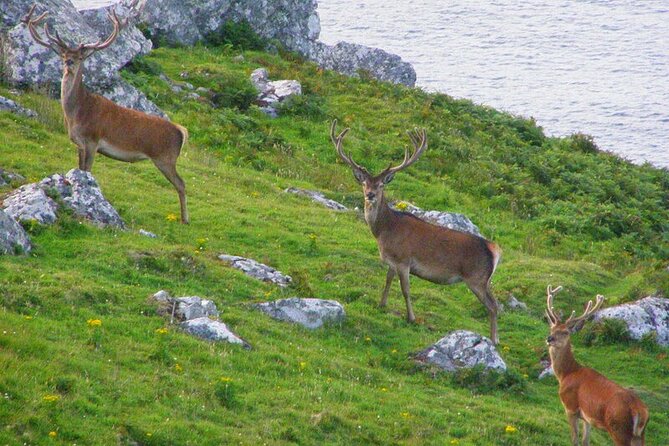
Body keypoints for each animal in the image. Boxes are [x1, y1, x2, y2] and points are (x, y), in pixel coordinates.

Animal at [22, 2, 190, 224]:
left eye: (80, 57)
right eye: (64, 55)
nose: (69, 63)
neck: (77, 113)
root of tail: (181, 131)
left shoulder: (93, 140)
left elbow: (87, 171)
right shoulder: (79, 143)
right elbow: (80, 169)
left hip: (165, 157)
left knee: (181, 183)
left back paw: (185, 219)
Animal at [330, 120, 502, 344]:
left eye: (381, 184)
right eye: (364, 182)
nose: (370, 195)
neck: (385, 230)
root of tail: (494, 249)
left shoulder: (404, 260)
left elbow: (405, 290)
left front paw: (411, 318)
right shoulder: (392, 261)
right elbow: (387, 281)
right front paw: (381, 304)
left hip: (477, 278)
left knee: (494, 306)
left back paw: (494, 340)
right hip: (482, 280)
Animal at [545, 285, 649, 446]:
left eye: (565, 332)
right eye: (552, 329)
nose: (550, 338)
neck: (566, 374)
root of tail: (640, 411)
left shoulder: (570, 407)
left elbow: (574, 440)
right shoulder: (587, 418)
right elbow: (585, 441)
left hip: (619, 429)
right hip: (639, 435)